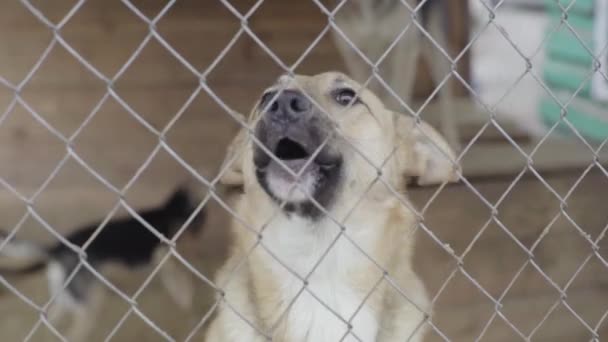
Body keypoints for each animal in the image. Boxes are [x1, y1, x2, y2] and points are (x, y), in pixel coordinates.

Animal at [0, 188, 207, 340]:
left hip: (64, 298)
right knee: (72, 334)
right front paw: (188, 302)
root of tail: (56, 249)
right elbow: (181, 282)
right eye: (200, 220)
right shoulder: (164, 258)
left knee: (50, 322)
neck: (166, 213)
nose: (198, 251)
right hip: (87, 307)